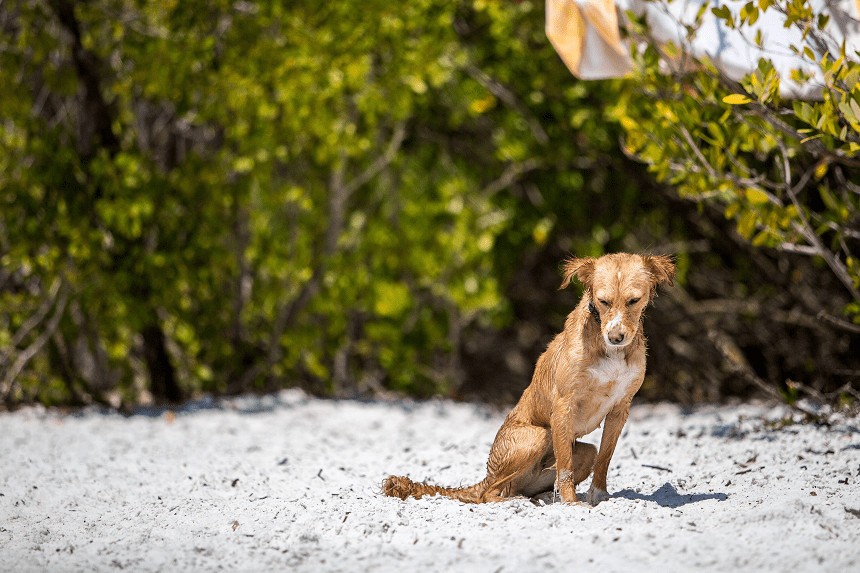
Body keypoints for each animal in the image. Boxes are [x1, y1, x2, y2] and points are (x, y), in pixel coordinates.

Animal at [382, 252, 672, 502]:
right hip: (537, 437)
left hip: (580, 453)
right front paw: (573, 504)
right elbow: (564, 469)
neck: (609, 350)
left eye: (633, 301)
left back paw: (540, 499)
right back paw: (513, 501)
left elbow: (604, 459)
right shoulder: (563, 407)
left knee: (542, 480)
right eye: (603, 301)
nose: (615, 337)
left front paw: (598, 497)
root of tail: (487, 476)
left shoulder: (620, 409)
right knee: (487, 495)